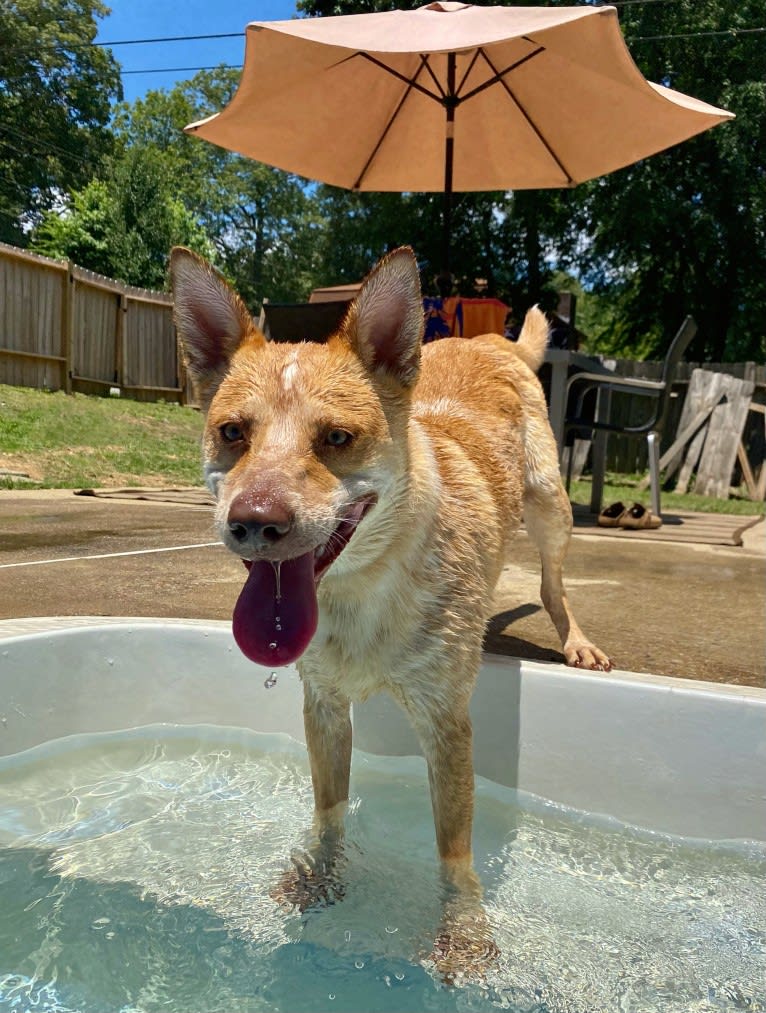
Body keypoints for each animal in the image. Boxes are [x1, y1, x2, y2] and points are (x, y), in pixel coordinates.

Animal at [169, 243, 611, 972]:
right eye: (233, 432)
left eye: (336, 437)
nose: (254, 522)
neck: (363, 583)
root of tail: (490, 338)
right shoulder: (322, 706)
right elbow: (329, 812)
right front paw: (318, 874)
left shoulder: (446, 723)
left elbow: (454, 854)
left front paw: (463, 930)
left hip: (551, 502)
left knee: (552, 581)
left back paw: (575, 639)